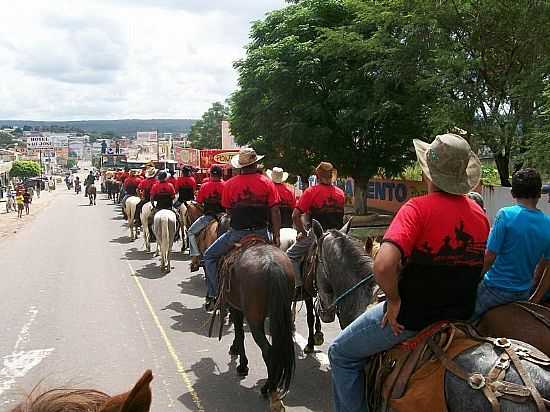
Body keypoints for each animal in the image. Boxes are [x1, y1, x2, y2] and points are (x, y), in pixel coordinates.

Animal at [216, 245, 298, 412]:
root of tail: (272, 265)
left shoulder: (236, 308)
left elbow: (239, 333)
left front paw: (242, 365)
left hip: (255, 321)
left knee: (268, 351)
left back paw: (268, 389)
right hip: (281, 315)